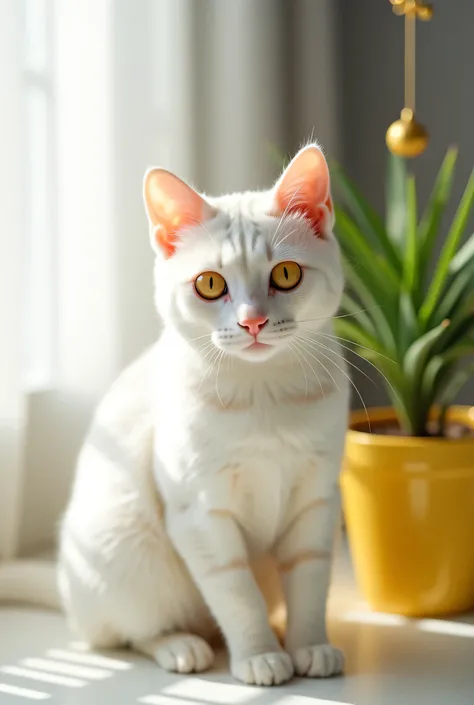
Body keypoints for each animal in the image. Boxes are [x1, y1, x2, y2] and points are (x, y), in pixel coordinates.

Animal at [57, 140, 348, 684]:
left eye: (286, 274)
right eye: (210, 284)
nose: (252, 321)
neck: (262, 394)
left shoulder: (317, 499)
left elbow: (310, 578)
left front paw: (310, 645)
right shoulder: (200, 512)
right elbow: (236, 592)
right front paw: (259, 655)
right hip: (128, 551)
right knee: (129, 631)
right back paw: (181, 646)